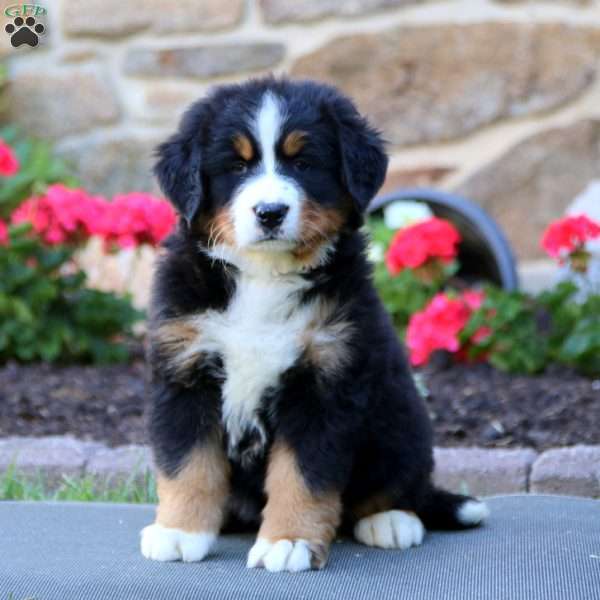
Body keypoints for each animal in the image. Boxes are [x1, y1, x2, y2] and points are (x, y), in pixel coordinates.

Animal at [141, 77, 488, 576]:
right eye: (237, 166)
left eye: (303, 163)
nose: (270, 212)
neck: (264, 277)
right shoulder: (184, 371)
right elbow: (188, 464)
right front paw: (179, 531)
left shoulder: (325, 382)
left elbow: (302, 474)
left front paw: (288, 540)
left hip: (400, 416)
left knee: (403, 482)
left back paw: (391, 520)